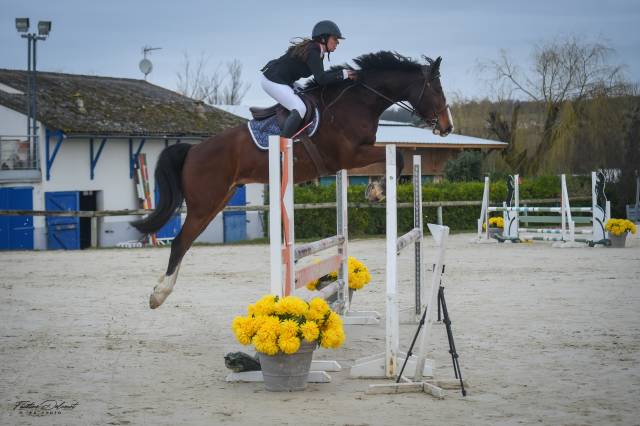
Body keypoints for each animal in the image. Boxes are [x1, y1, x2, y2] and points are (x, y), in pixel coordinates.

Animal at [132, 51, 454, 309]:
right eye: (437, 89)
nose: (448, 127)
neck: (356, 102)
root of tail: (193, 149)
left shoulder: (358, 153)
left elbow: (397, 156)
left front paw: (374, 190)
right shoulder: (349, 155)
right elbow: (397, 156)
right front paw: (376, 192)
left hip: (219, 199)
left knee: (186, 242)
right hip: (205, 203)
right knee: (180, 242)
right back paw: (158, 294)